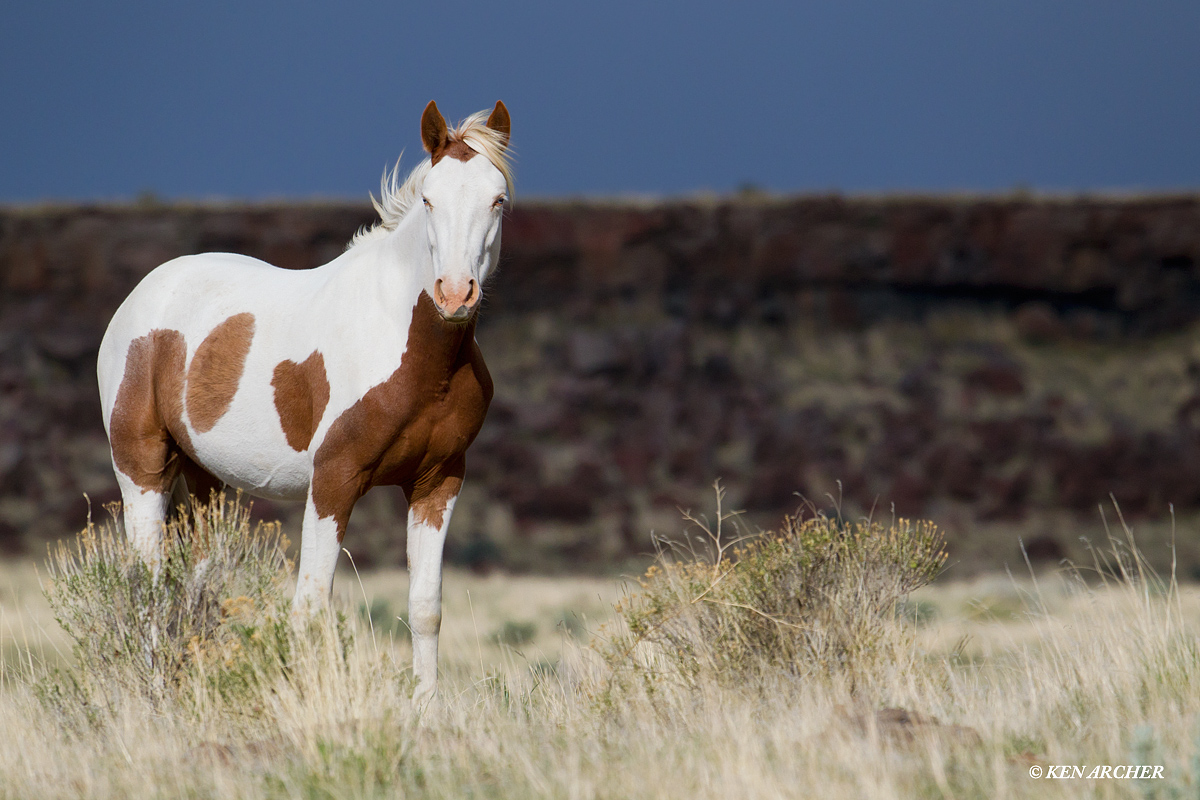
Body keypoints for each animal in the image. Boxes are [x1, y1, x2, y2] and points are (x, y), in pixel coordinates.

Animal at [97, 100, 513, 702]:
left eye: (498, 199)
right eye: (430, 199)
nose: (455, 294)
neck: (411, 351)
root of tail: (141, 298)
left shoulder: (438, 482)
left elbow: (425, 608)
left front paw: (425, 709)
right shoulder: (333, 481)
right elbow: (311, 608)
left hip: (204, 483)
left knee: (196, 587)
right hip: (142, 470)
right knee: (148, 587)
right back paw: (154, 696)